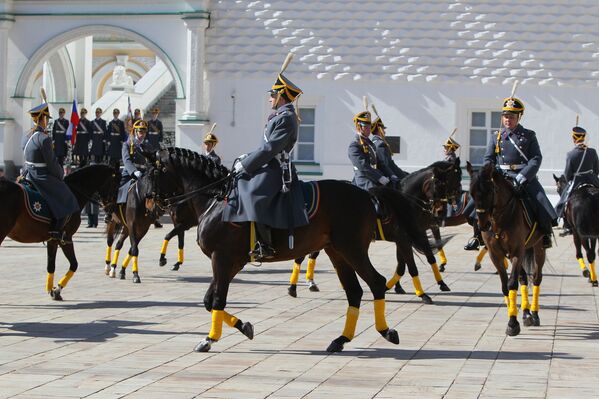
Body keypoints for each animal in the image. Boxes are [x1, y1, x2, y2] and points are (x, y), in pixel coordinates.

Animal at [0, 165, 120, 300]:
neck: (74, 193)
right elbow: (74, 264)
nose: (112, 213)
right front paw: (57, 289)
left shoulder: (53, 239)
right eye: (116, 185)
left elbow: (51, 265)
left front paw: (51, 290)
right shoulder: (66, 238)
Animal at [147, 149, 446, 354]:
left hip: (352, 249)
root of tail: (365, 194)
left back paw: (386, 330)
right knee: (355, 292)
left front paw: (210, 339)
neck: (218, 200)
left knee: (376, 283)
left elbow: (217, 300)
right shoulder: (229, 263)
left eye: (151, 172)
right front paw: (243, 326)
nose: (150, 204)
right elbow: (211, 301)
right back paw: (340, 339)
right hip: (337, 253)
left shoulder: (222, 259)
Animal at [468, 163, 548, 338]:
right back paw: (526, 313)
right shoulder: (496, 255)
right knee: (523, 278)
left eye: (489, 191)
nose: (483, 225)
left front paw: (512, 324)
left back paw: (534, 314)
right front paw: (513, 317)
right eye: (471, 193)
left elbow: (511, 283)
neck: (499, 219)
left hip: (538, 248)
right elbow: (505, 286)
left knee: (536, 278)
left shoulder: (517, 251)